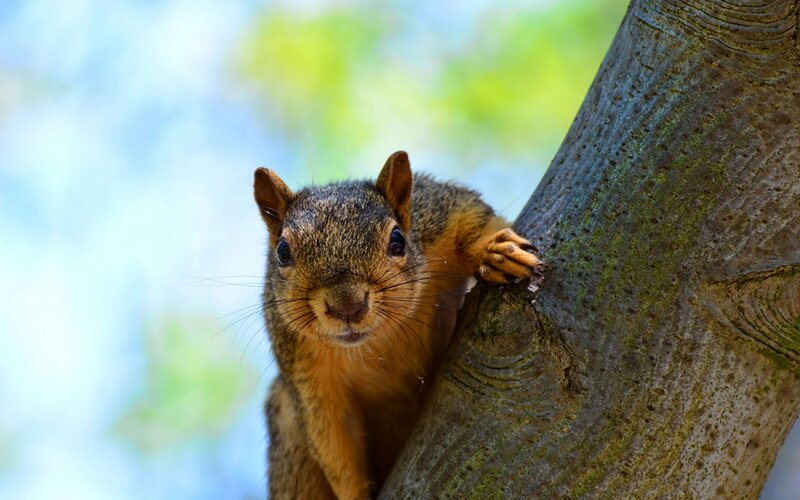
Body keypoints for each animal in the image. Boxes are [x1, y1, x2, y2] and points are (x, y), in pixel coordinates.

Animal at [254, 151, 543, 499]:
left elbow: (472, 217)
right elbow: (335, 446)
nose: (347, 306)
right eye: (282, 252)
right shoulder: (308, 379)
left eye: (397, 240)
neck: (376, 341)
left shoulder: (437, 213)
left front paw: (493, 249)